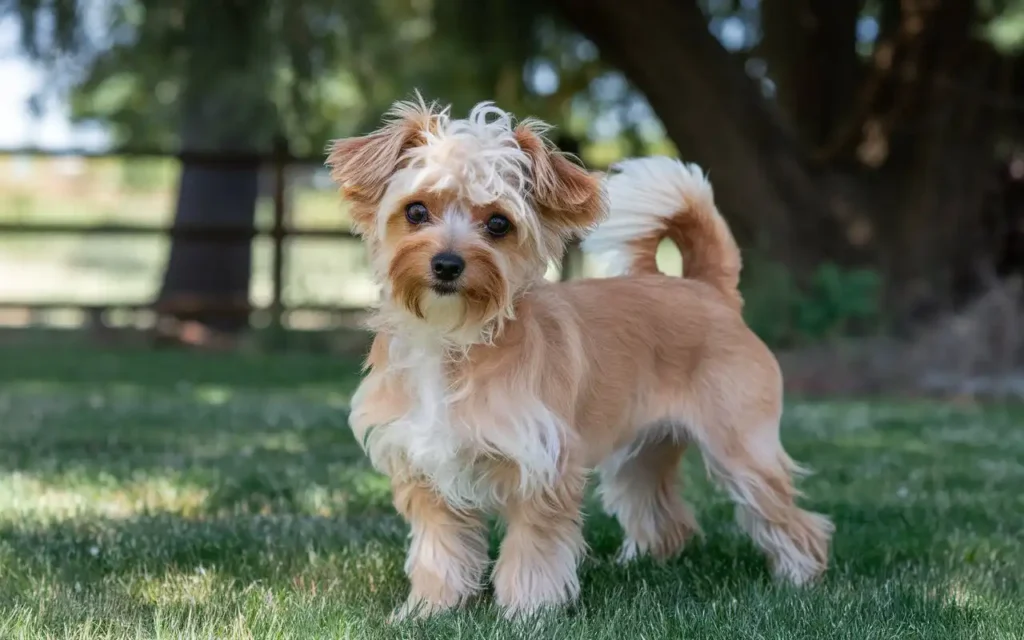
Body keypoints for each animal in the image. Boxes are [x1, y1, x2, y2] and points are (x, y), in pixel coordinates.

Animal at [327, 96, 831, 618]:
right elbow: (439, 550)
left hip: (742, 451)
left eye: (499, 224)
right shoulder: (425, 470)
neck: (453, 339)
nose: (447, 264)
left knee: (791, 519)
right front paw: (430, 609)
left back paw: (799, 579)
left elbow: (533, 549)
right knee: (664, 515)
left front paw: (527, 612)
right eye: (416, 210)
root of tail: (709, 289)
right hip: (641, 455)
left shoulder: (545, 470)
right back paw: (642, 564)